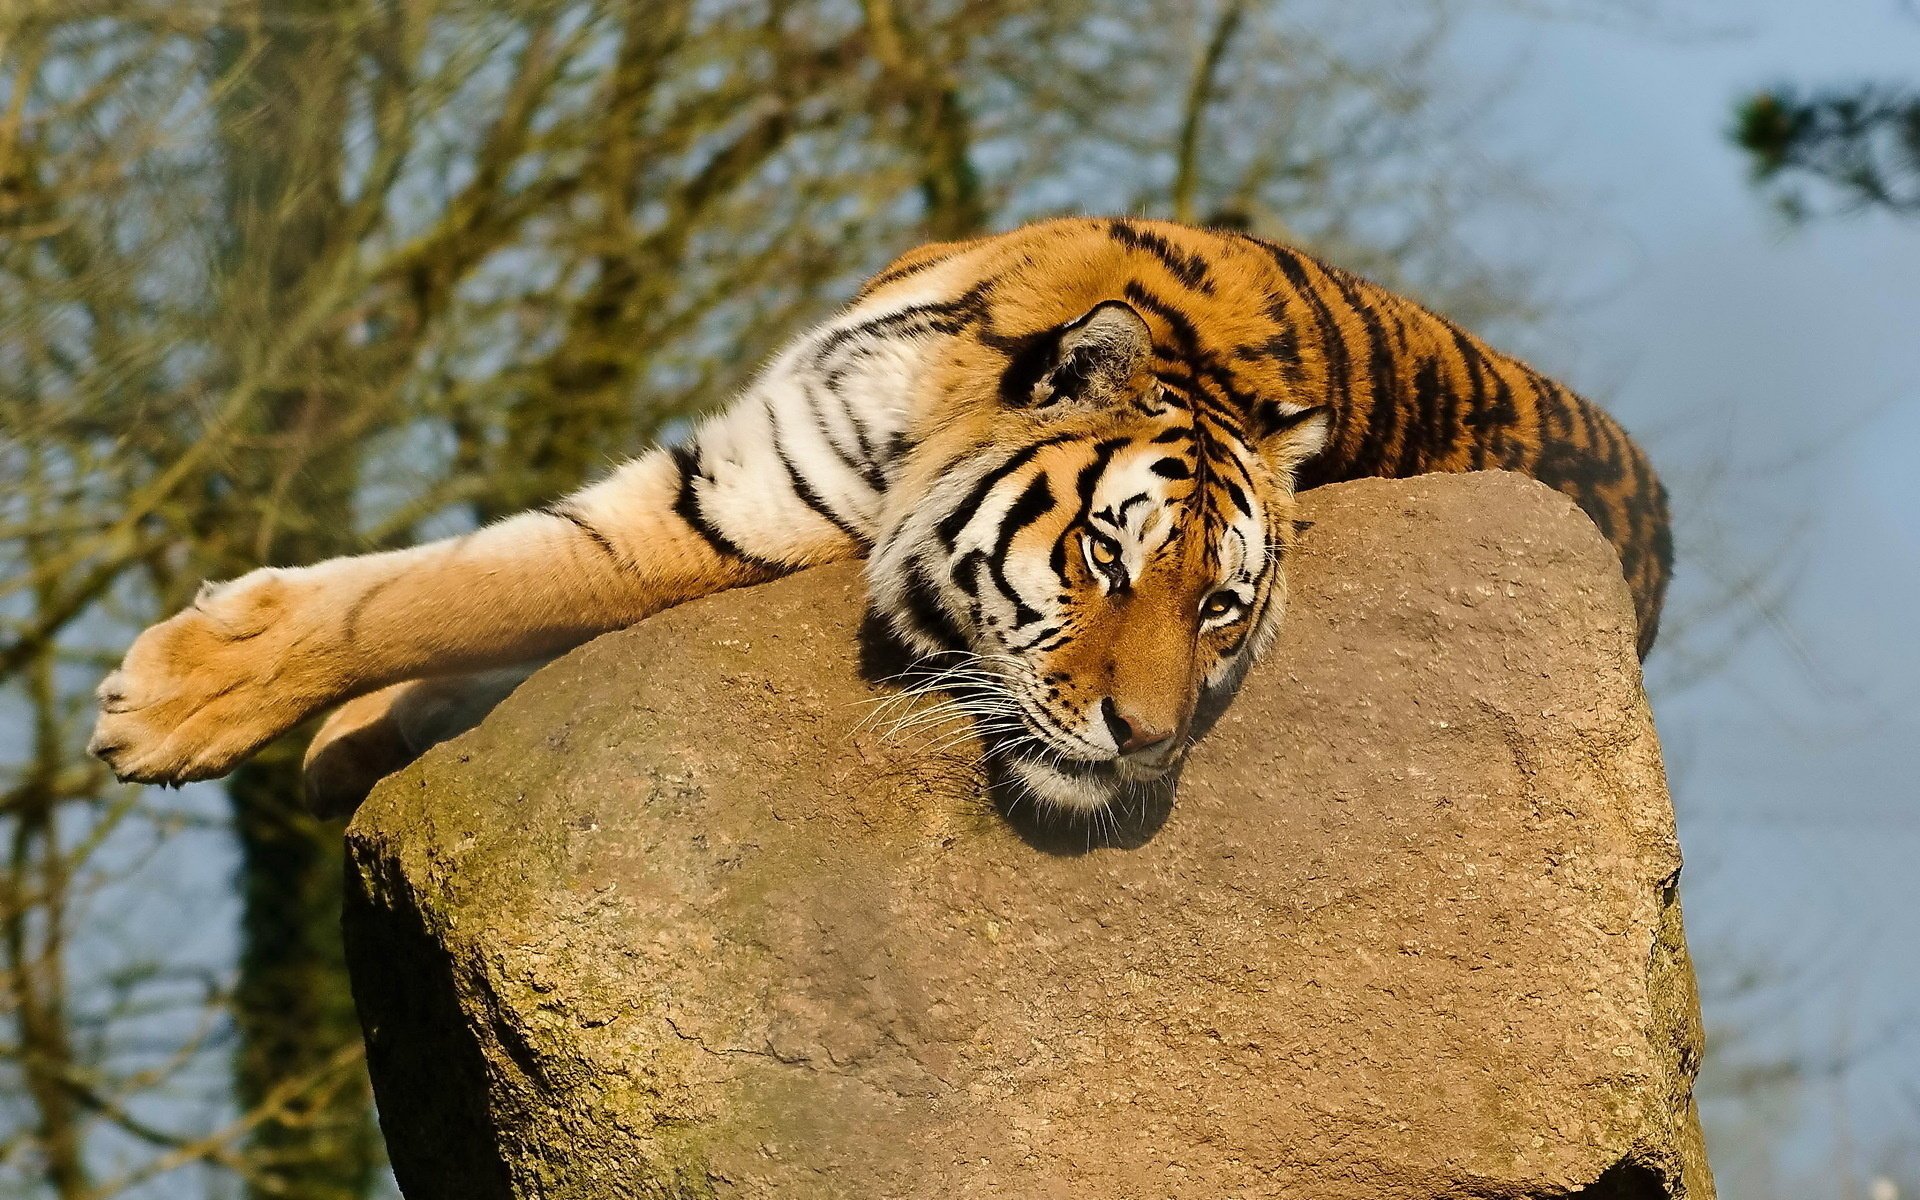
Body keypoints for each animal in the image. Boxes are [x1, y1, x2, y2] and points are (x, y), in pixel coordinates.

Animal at [88, 217, 1672, 817]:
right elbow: (463, 590)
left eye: (1222, 608)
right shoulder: (743, 467)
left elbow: (471, 591)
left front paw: (168, 706)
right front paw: (328, 729)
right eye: (1107, 555)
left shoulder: (725, 520)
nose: (1147, 741)